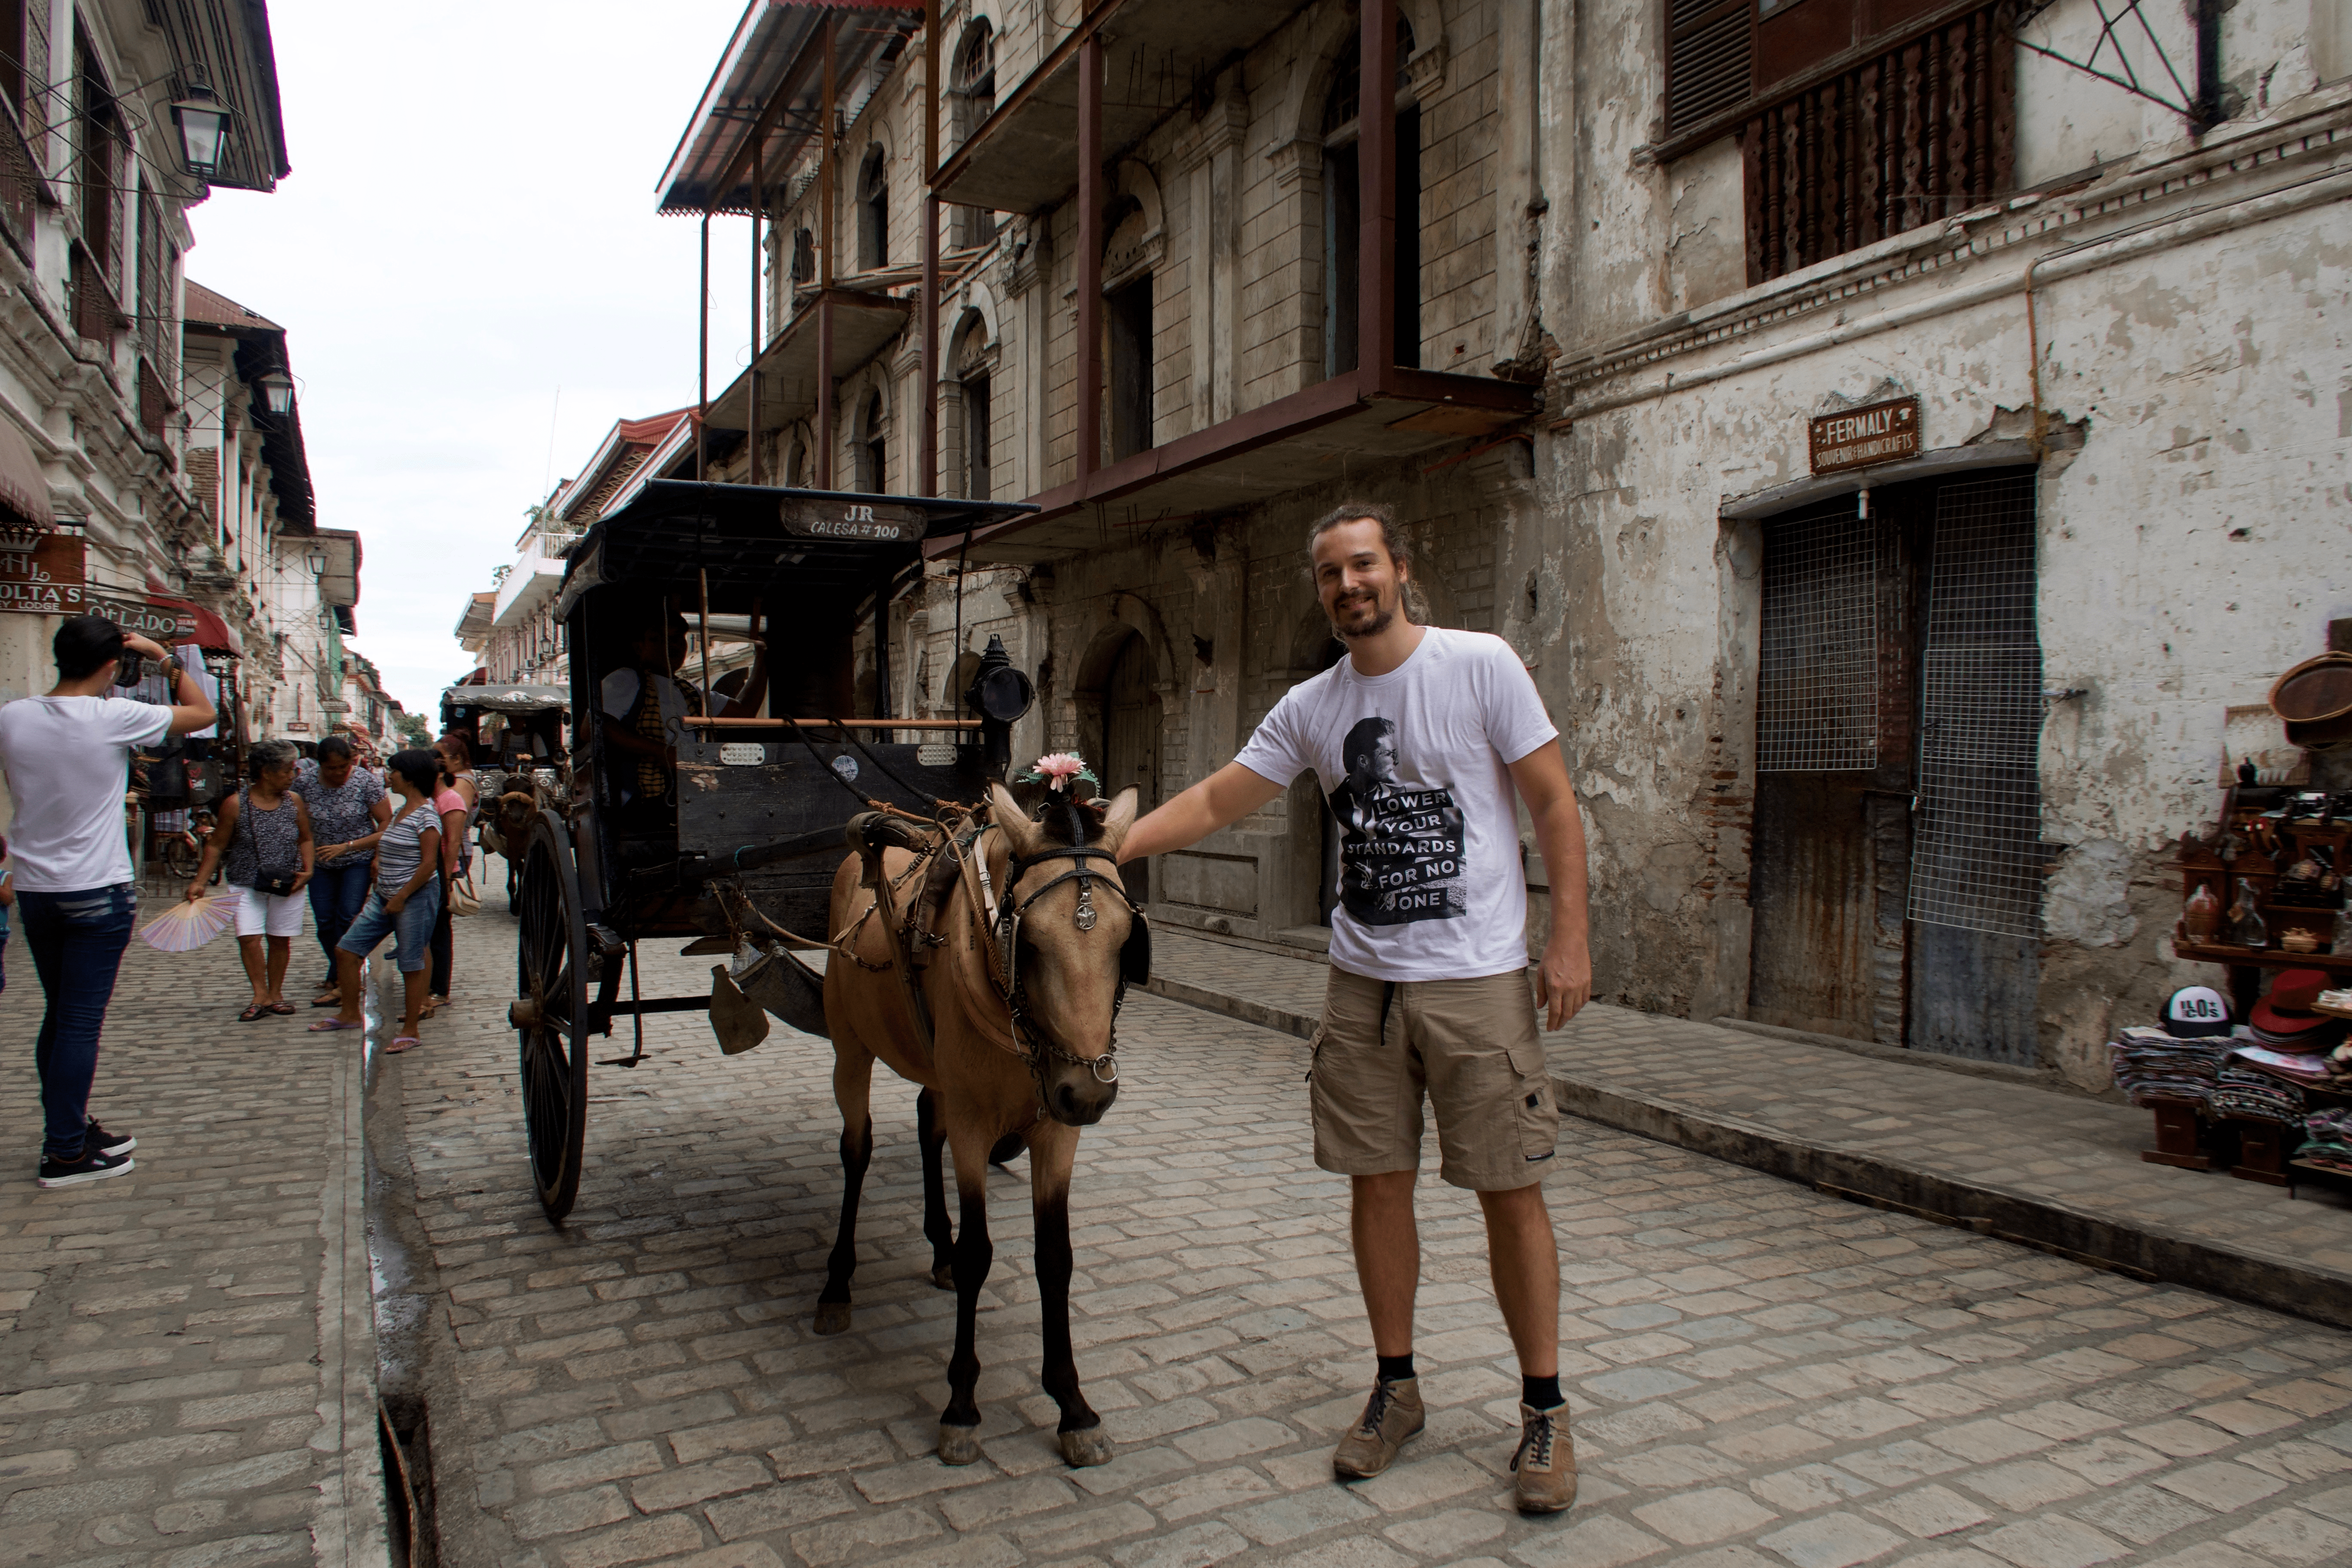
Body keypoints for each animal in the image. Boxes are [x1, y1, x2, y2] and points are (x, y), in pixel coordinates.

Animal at [823, 785, 1143, 1476]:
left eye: (1129, 941)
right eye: (1032, 943)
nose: (1089, 1094)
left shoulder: (1056, 1132)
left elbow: (1056, 1258)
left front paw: (1073, 1407)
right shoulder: (974, 1126)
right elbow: (979, 1255)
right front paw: (962, 1406)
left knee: (926, 1126)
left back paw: (936, 1251)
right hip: (849, 1048)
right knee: (855, 1150)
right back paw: (836, 1285)